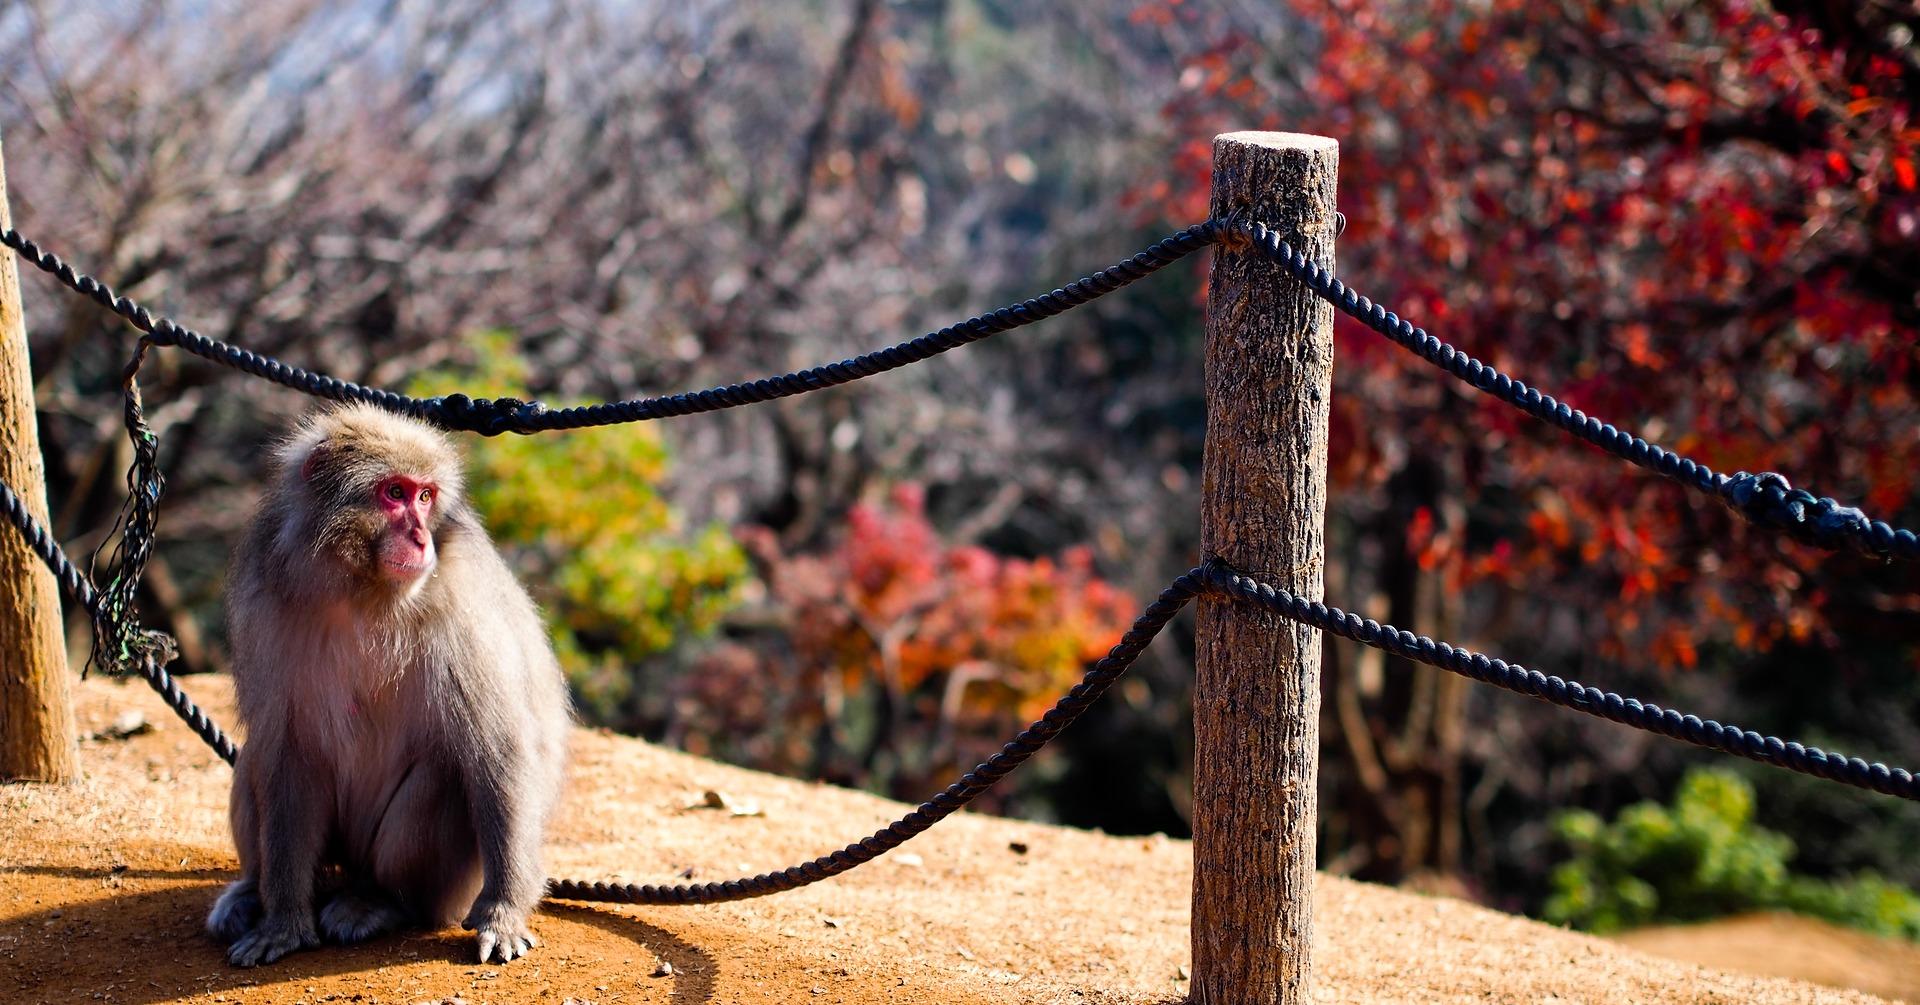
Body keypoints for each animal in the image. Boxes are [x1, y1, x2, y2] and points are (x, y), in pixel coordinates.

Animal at [206, 403, 572, 968]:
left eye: (425, 497)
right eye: (394, 493)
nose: (421, 538)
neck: (361, 591)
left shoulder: (462, 606)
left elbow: (499, 749)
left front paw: (503, 914)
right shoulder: (263, 599)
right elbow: (287, 752)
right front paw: (283, 923)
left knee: (445, 775)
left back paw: (380, 901)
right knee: (255, 761)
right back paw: (252, 892)